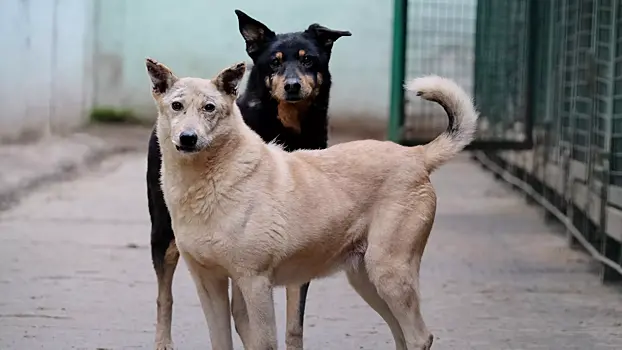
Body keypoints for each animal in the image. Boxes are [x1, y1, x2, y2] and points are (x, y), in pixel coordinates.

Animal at [147, 9, 352, 348]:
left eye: (309, 60)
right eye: (274, 62)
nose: (293, 85)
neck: (287, 129)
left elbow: (293, 322)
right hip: (163, 233)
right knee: (165, 295)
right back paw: (163, 340)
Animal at [149, 58, 480, 350]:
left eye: (209, 108)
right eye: (176, 106)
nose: (188, 138)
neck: (209, 180)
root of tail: (416, 155)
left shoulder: (255, 283)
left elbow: (265, 342)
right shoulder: (210, 284)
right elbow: (220, 341)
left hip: (390, 274)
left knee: (419, 337)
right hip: (367, 280)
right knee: (401, 335)